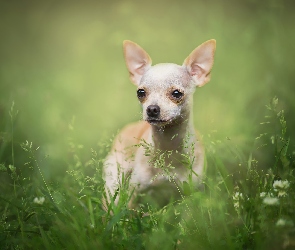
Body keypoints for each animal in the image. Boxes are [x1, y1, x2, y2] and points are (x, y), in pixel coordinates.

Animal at [104, 39, 217, 209]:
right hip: (114, 175)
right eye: (140, 93)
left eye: (176, 93)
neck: (167, 147)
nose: (152, 109)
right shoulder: (134, 192)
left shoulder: (190, 194)